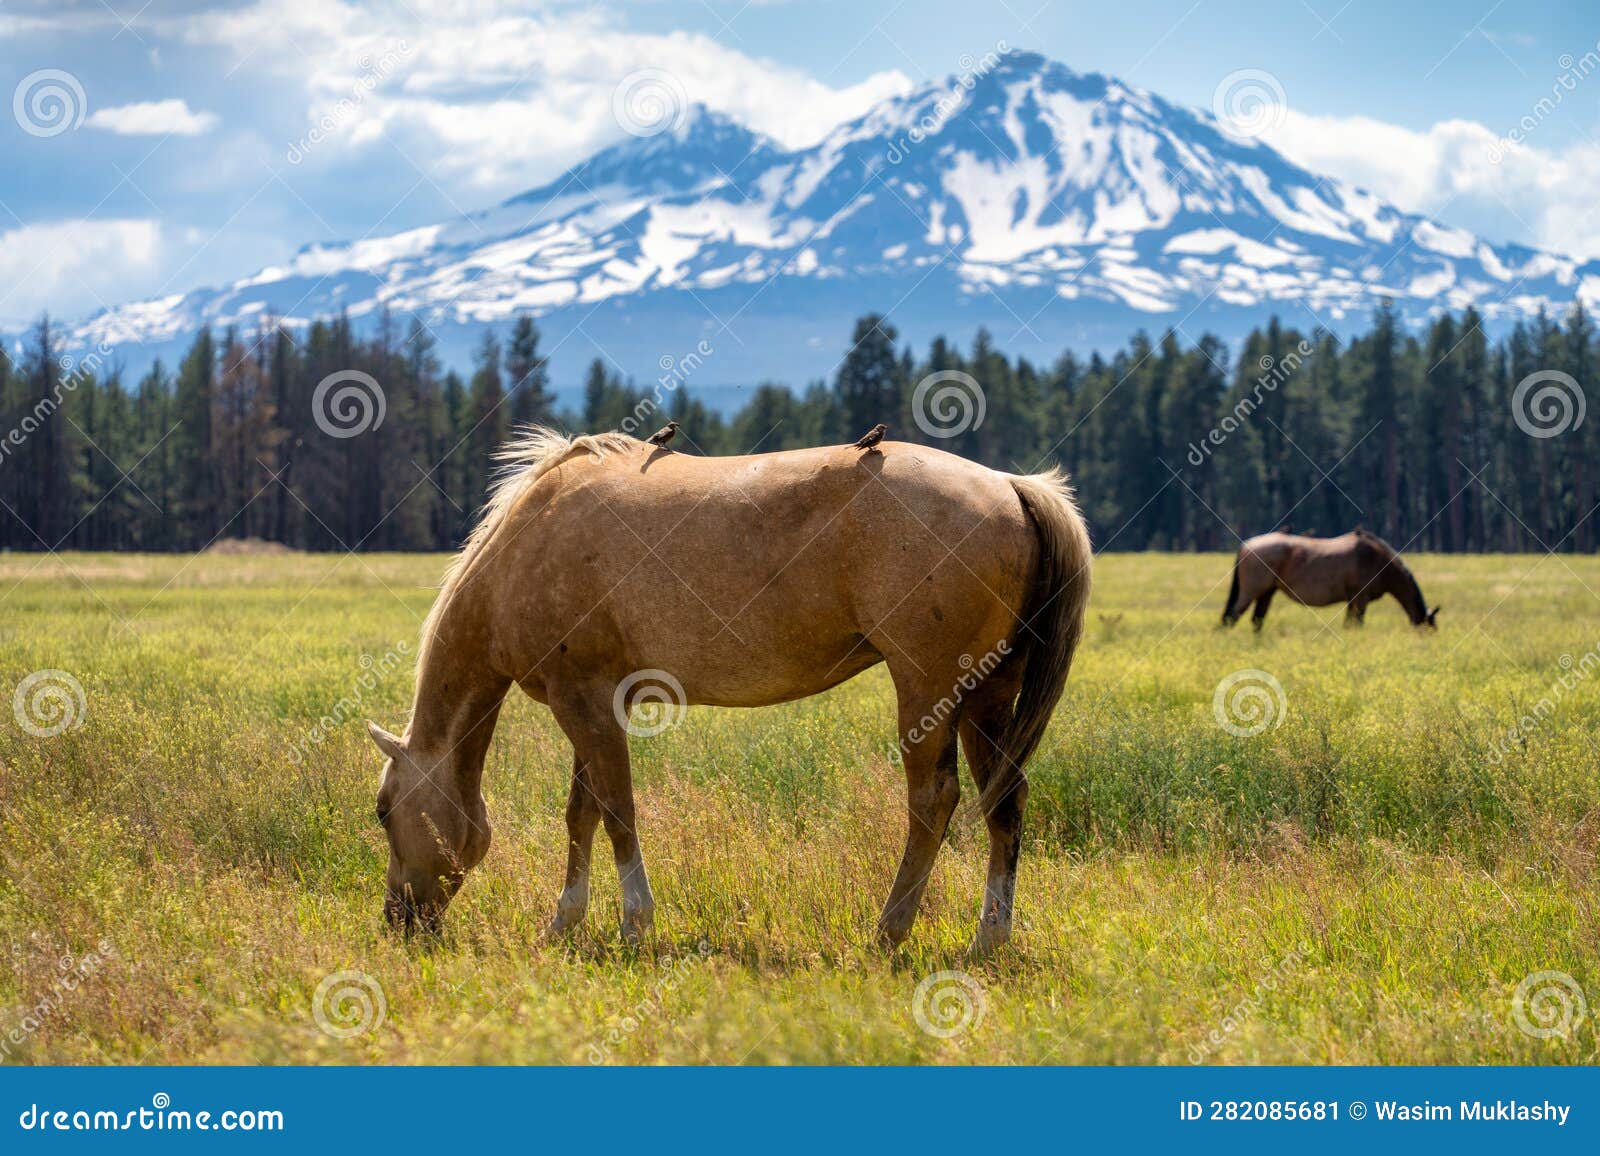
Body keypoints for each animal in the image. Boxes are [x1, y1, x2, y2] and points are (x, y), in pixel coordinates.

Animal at [367, 428, 1093, 955]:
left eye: (381, 812)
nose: (398, 920)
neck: (530, 542)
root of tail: (1013, 486)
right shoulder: (596, 706)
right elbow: (583, 814)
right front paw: (565, 922)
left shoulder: (585, 706)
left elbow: (618, 812)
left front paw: (634, 925)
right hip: (988, 695)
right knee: (1005, 800)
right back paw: (989, 941)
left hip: (928, 689)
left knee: (933, 802)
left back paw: (888, 933)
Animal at [1221, 528, 1438, 631]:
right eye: (1429, 630)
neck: (1378, 560)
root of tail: (1246, 545)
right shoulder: (1361, 598)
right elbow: (1357, 623)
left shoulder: (1352, 600)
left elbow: (1349, 624)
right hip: (1251, 592)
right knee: (1231, 617)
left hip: (1267, 593)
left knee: (1257, 620)